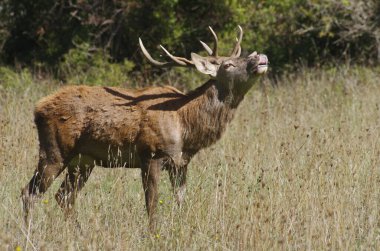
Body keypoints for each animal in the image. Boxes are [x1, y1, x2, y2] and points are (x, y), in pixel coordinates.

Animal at [21, 25, 270, 229]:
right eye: (228, 64)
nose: (260, 56)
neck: (185, 127)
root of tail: (37, 108)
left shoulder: (181, 163)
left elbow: (181, 200)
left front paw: (180, 227)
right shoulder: (150, 155)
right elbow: (151, 204)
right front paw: (153, 234)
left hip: (83, 161)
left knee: (63, 197)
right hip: (54, 151)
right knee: (29, 193)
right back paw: (29, 232)